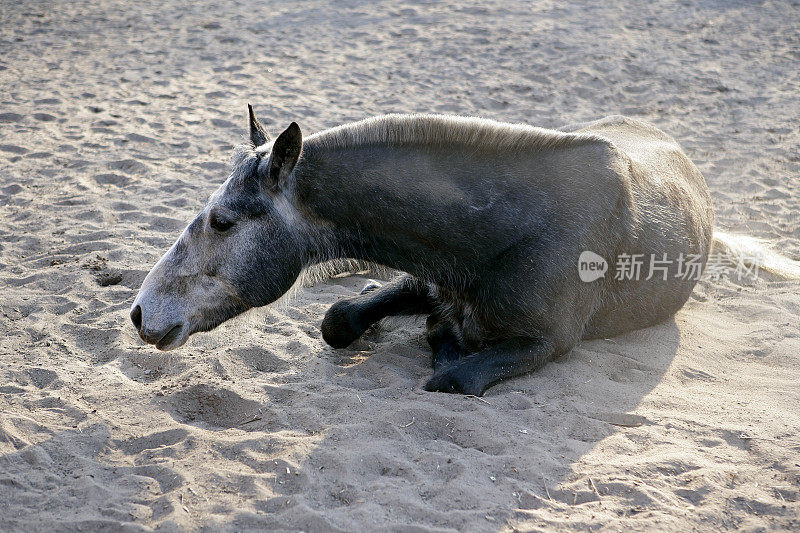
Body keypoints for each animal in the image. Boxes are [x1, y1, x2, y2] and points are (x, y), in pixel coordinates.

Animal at [131, 106, 720, 394]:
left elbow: (453, 377)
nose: (139, 313)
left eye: (222, 221)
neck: (507, 228)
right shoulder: (428, 279)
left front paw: (446, 349)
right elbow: (340, 317)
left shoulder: (549, 342)